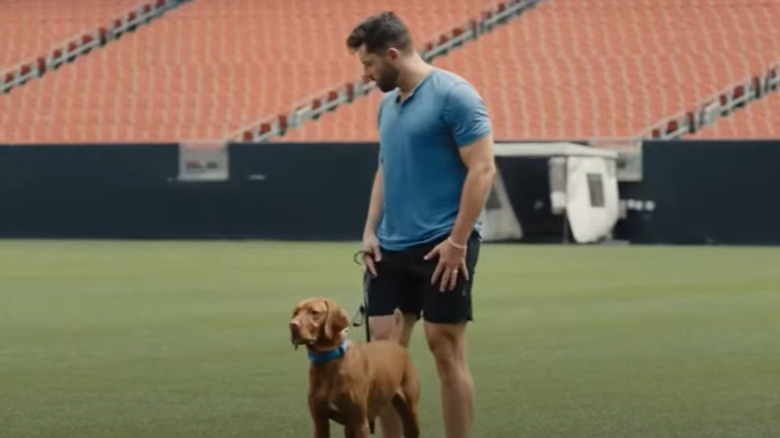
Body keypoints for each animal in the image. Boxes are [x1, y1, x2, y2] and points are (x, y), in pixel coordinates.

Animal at [288, 296, 420, 436]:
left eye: (314, 312)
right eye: (295, 312)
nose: (292, 325)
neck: (328, 362)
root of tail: (395, 344)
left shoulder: (360, 423)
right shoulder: (320, 422)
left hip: (411, 413)